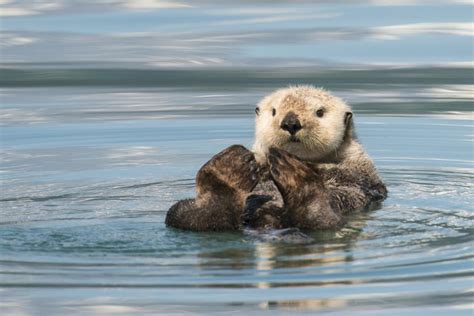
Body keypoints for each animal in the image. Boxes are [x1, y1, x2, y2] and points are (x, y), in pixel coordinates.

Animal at [165, 86, 386, 232]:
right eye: (274, 111)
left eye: (320, 112)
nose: (290, 122)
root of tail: (268, 221)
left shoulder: (362, 172)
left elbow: (348, 176)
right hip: (181, 212)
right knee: (193, 218)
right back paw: (228, 171)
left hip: (330, 219)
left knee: (320, 221)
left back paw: (294, 175)